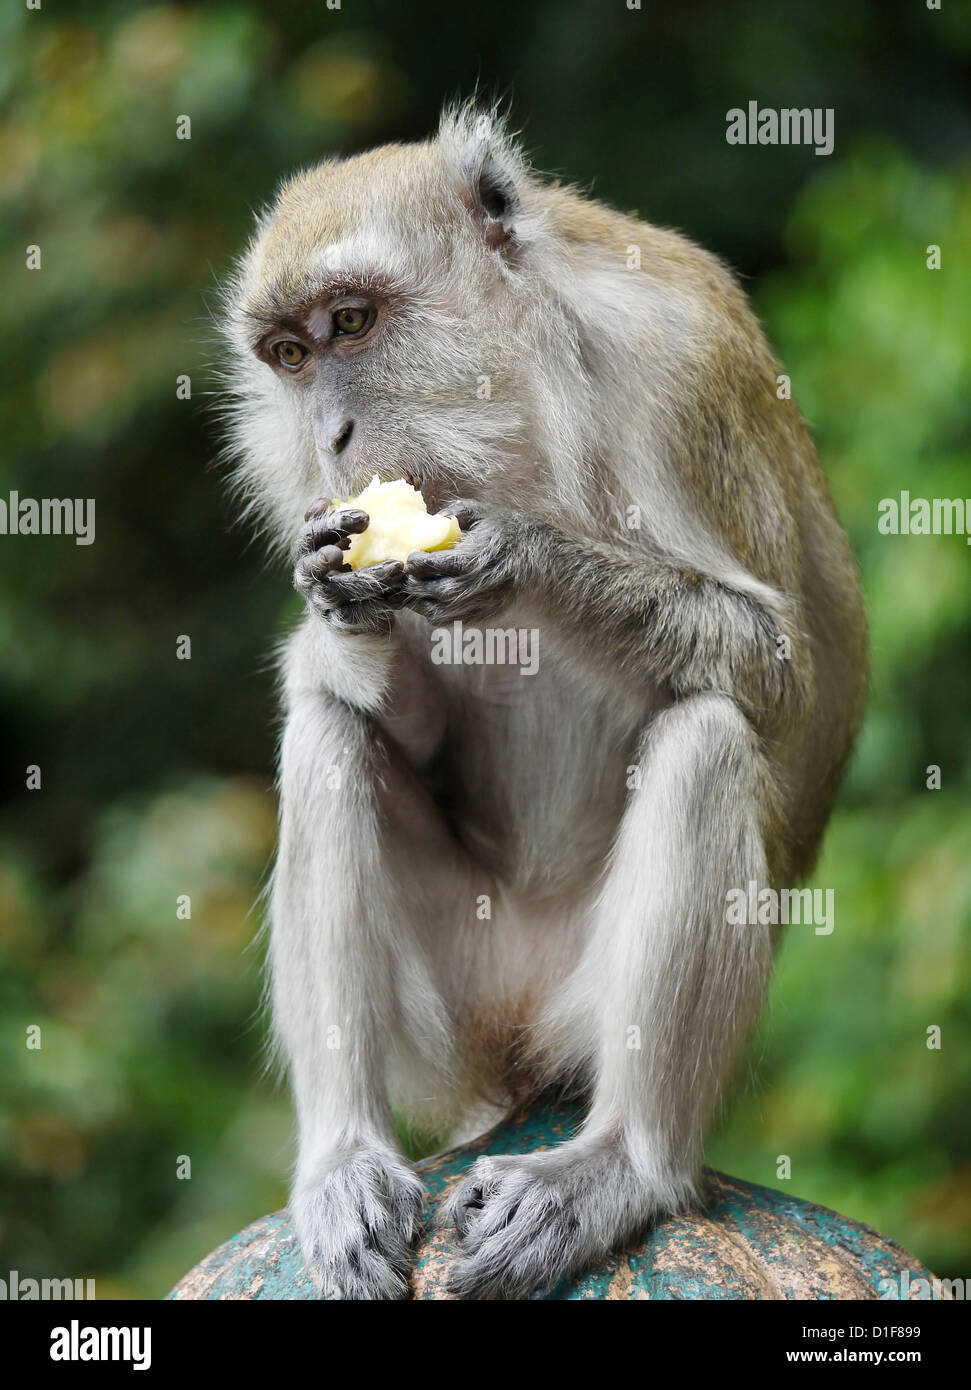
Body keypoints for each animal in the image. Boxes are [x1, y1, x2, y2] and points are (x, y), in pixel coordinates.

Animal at [220, 102, 866, 1295]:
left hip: (577, 1003)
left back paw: (620, 1164)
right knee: (330, 737)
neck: (517, 399)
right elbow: (378, 710)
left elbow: (776, 675)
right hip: (454, 1005)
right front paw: (341, 609)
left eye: (351, 323)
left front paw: (530, 561)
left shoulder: (679, 365)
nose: (327, 436)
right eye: (290, 356)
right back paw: (343, 1157)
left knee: (705, 735)